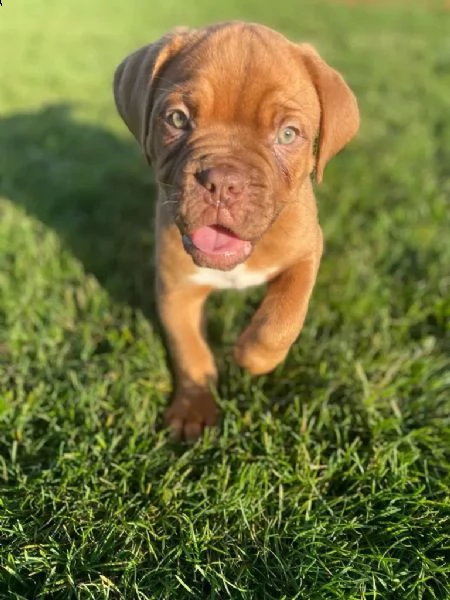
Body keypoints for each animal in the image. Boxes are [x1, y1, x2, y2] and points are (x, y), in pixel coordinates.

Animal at [114, 21, 360, 440]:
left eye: (288, 134)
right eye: (177, 120)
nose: (222, 183)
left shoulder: (307, 251)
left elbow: (283, 317)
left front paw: (251, 356)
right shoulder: (177, 290)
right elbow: (190, 352)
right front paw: (193, 410)